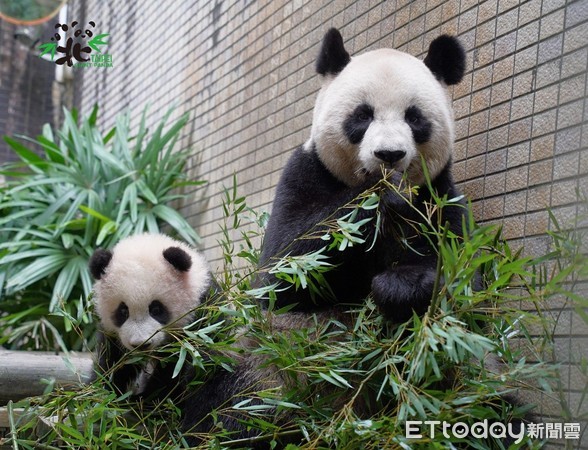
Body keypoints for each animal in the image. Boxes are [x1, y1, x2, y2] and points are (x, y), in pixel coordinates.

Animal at [260, 28, 470, 322]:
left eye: (414, 118)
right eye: (362, 115)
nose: (389, 154)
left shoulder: (440, 196)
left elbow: (461, 275)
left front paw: (400, 286)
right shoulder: (305, 172)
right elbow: (283, 266)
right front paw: (385, 194)